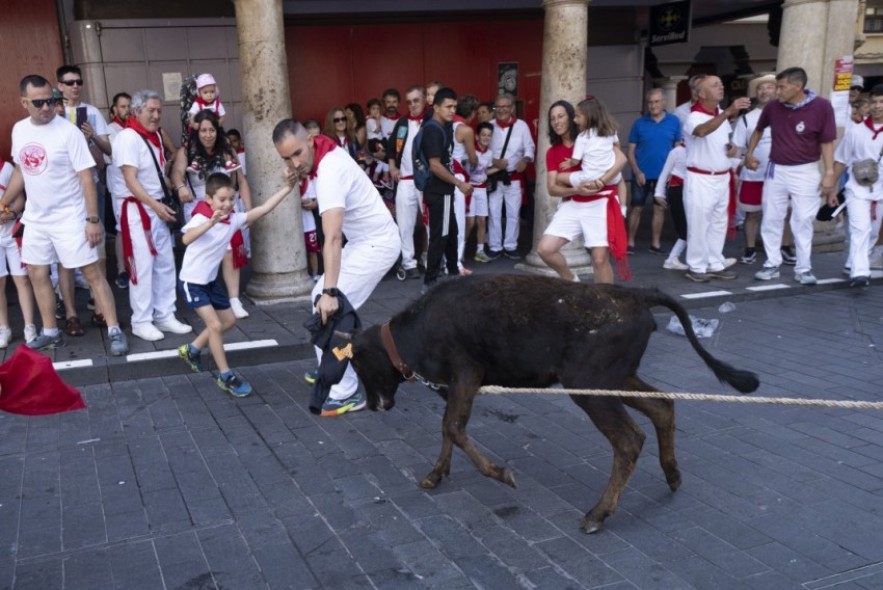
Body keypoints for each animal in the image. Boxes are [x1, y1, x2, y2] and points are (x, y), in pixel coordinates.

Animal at [348, 276, 756, 536]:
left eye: (359, 362)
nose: (373, 406)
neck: (415, 331)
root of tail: (636, 296)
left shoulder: (467, 375)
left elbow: (453, 428)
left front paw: (501, 474)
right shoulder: (454, 388)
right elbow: (448, 430)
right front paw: (435, 474)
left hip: (589, 387)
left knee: (629, 439)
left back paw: (598, 514)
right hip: (614, 380)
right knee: (663, 406)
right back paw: (671, 475)